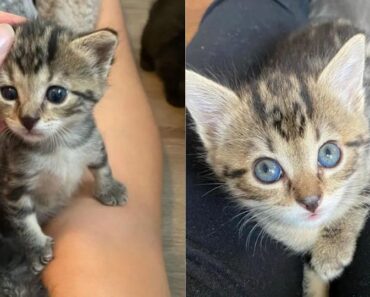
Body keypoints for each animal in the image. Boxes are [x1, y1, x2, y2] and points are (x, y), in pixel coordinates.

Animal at [0, 19, 127, 294]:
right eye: (8, 93)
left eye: (56, 94)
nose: (28, 120)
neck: (57, 145)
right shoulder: (12, 181)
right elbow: (23, 217)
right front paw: (36, 248)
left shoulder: (91, 139)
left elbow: (102, 164)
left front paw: (109, 188)